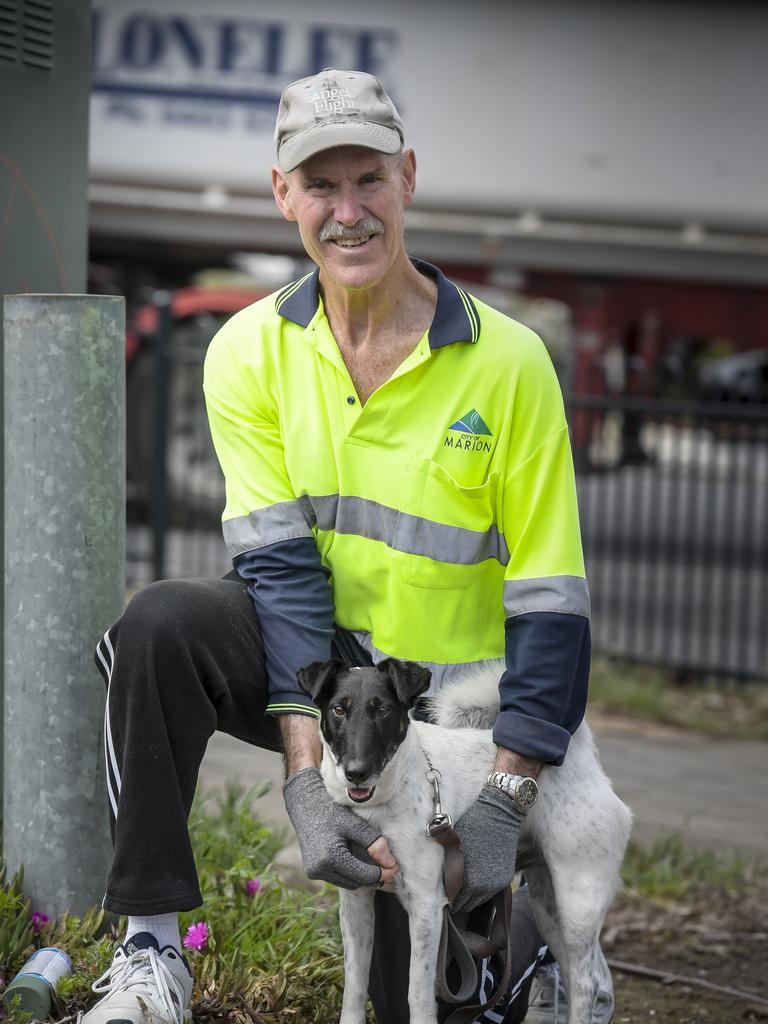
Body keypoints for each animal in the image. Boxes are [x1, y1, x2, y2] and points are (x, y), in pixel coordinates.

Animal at [296, 655, 634, 1024]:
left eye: (383, 710)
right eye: (338, 710)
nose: (356, 773)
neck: (379, 804)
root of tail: (581, 756)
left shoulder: (426, 905)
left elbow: (417, 993)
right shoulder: (356, 899)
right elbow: (355, 987)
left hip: (578, 902)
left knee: (586, 981)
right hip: (549, 907)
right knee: (577, 974)